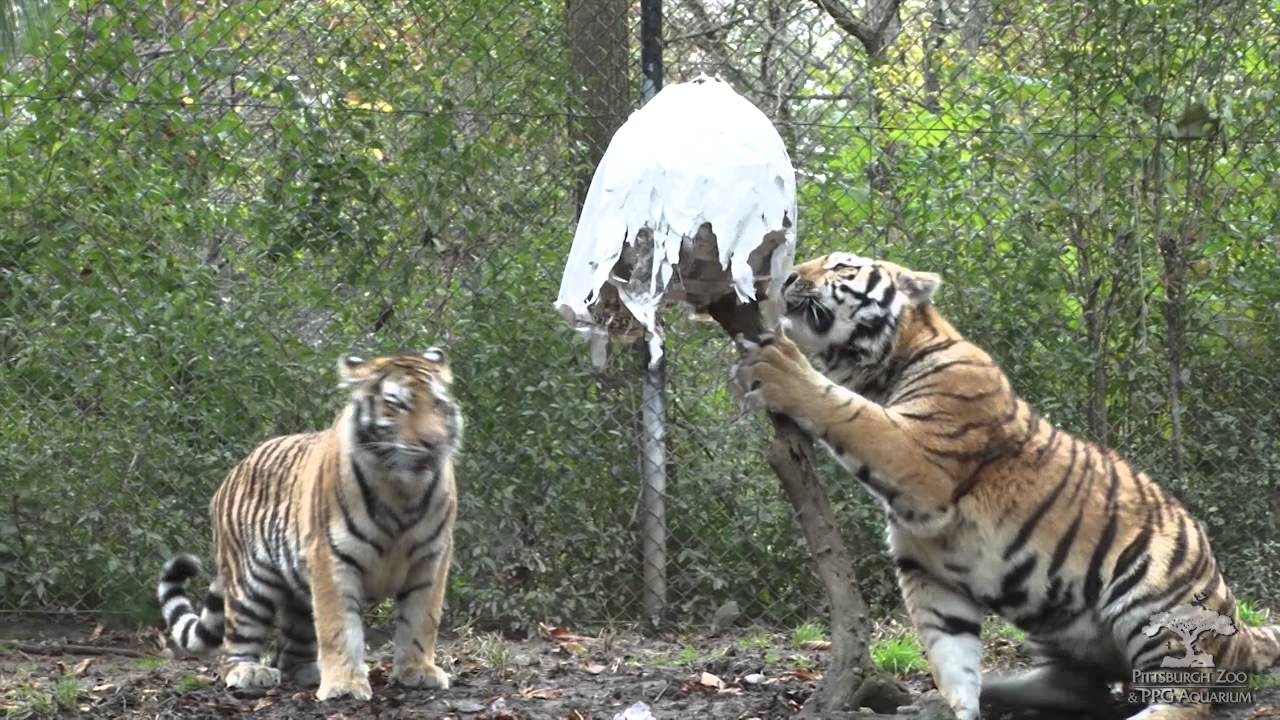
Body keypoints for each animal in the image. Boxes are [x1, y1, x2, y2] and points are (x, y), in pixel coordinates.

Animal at [156, 349, 462, 701]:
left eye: (438, 404)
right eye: (397, 405)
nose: (433, 442)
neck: (402, 490)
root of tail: (233, 473)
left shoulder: (431, 559)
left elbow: (421, 620)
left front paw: (417, 671)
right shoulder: (331, 558)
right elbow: (338, 627)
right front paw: (344, 685)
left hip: (298, 595)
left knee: (290, 652)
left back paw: (308, 672)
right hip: (250, 584)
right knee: (234, 646)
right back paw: (249, 672)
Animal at [737, 252, 1280, 720]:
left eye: (842, 266)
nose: (788, 278)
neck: (879, 366)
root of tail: (1237, 622)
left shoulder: (919, 456)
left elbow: (848, 412)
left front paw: (781, 368)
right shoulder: (928, 569)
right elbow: (952, 660)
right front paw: (957, 707)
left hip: (1152, 601)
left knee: (1187, 698)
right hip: (1057, 622)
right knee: (1076, 686)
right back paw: (973, 694)